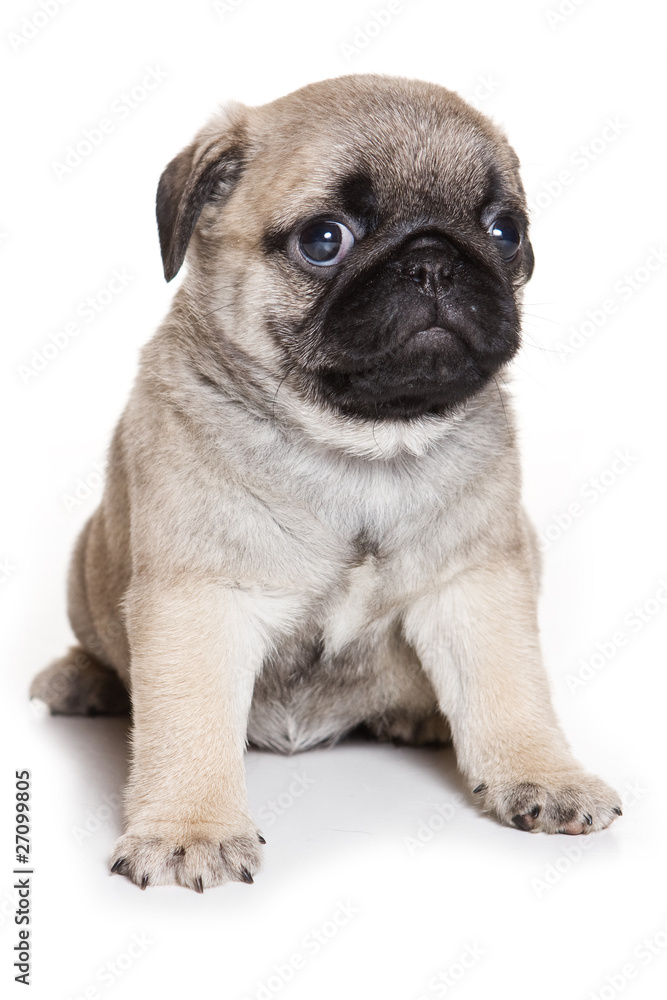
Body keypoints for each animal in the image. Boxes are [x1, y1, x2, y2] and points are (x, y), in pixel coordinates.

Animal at [31, 76, 624, 892]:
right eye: (324, 239)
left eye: (504, 232)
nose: (435, 260)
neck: (362, 451)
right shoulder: (198, 601)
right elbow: (187, 727)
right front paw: (190, 829)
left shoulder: (475, 585)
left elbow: (510, 691)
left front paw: (546, 775)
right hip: (84, 561)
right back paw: (82, 681)